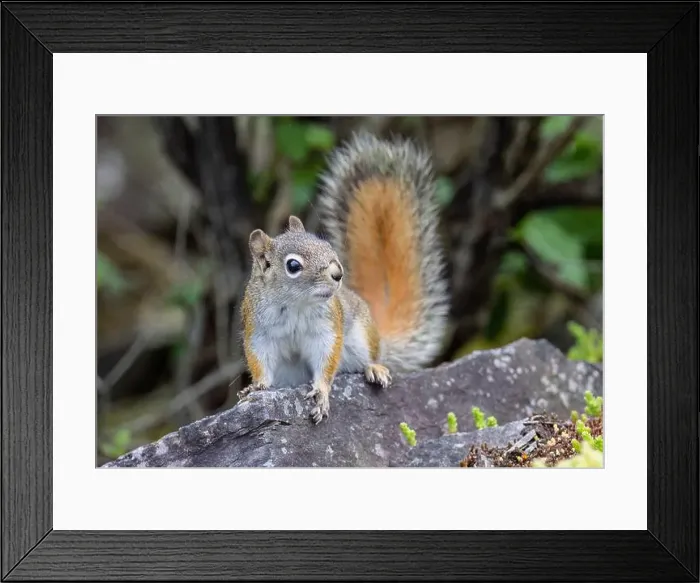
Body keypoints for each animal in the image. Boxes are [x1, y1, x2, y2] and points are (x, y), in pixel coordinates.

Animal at [237, 132, 450, 424]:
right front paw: (256, 387)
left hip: (361, 338)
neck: (295, 304)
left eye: (326, 246)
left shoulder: (328, 328)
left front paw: (321, 392)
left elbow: (327, 359)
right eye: (293, 265)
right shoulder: (259, 331)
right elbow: (260, 360)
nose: (338, 273)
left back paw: (375, 368)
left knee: (369, 357)